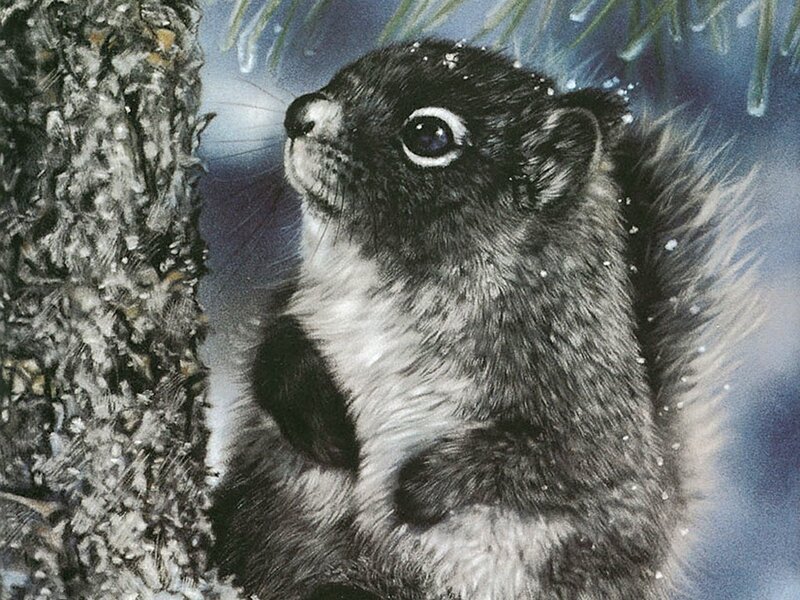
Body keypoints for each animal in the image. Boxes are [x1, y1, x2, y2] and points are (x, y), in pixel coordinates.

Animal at [210, 39, 758, 600]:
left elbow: (560, 462)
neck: (376, 287)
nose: (299, 114)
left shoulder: (591, 397)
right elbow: (271, 359)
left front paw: (421, 487)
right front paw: (326, 427)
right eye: (342, 74)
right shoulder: (295, 307)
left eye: (428, 135)